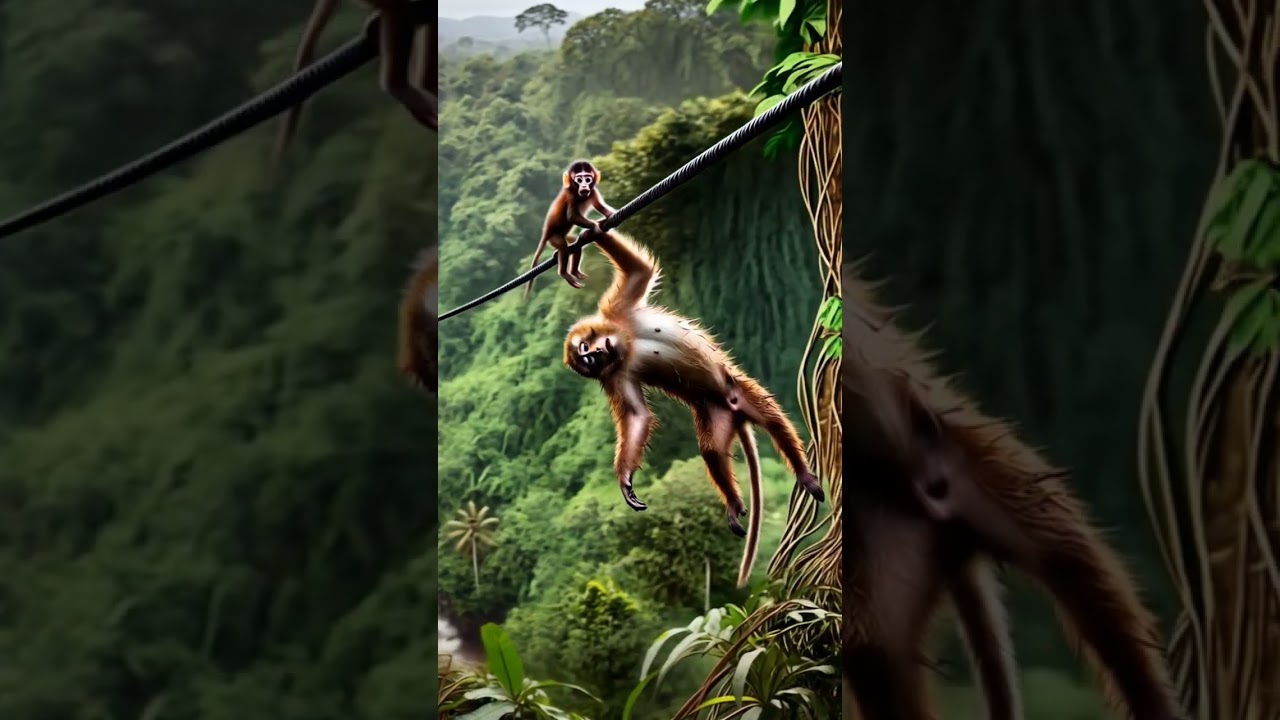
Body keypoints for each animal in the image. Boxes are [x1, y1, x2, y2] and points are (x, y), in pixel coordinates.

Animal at [523, 160, 616, 299]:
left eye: (588, 179)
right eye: (579, 179)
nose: (584, 185)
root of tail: (545, 232)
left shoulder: (593, 191)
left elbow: (599, 206)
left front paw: (609, 215)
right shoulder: (571, 195)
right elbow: (572, 216)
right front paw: (595, 226)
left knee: (576, 244)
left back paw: (574, 269)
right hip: (553, 237)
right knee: (562, 244)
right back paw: (564, 273)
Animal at [562, 229, 824, 588]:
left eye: (586, 348)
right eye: (585, 358)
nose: (592, 355)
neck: (625, 342)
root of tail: (733, 410)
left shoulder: (616, 311)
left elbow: (639, 270)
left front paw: (588, 226)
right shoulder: (614, 374)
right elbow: (637, 416)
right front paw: (625, 478)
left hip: (737, 391)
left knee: (772, 419)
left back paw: (802, 473)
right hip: (715, 413)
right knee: (712, 451)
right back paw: (733, 502)